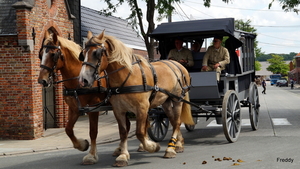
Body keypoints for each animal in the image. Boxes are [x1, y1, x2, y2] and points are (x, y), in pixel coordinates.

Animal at [37, 31, 107, 164]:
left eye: (53, 54)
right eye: (41, 54)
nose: (41, 80)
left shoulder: (93, 107)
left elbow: (93, 131)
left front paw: (91, 155)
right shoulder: (74, 108)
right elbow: (68, 129)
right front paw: (82, 145)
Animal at [78, 30, 193, 166]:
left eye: (96, 53)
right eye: (82, 54)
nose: (83, 80)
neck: (126, 77)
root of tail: (178, 64)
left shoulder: (142, 107)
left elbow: (140, 132)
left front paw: (153, 146)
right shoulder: (118, 109)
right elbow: (123, 132)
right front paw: (123, 156)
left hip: (177, 100)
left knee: (177, 122)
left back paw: (171, 148)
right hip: (166, 102)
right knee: (174, 120)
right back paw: (178, 144)